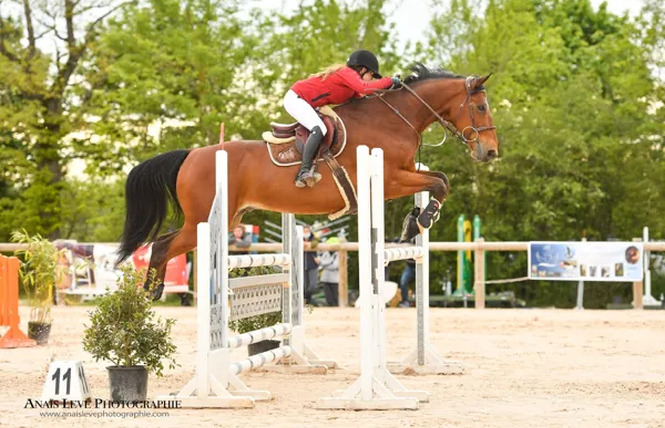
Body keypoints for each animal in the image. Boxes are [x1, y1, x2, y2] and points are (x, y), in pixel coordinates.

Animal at [115, 64, 498, 298]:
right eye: (481, 108)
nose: (490, 152)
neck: (392, 119)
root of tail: (191, 155)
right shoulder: (390, 179)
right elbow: (439, 183)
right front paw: (423, 219)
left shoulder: (403, 175)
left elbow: (438, 178)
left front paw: (412, 223)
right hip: (203, 220)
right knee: (161, 246)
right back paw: (149, 293)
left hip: (225, 218)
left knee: (163, 244)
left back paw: (154, 290)